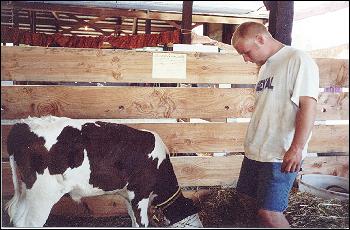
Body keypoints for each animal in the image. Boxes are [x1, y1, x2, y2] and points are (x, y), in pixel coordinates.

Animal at [5, 116, 204, 227]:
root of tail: (21, 125)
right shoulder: (140, 193)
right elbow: (142, 223)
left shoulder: (128, 195)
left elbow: (133, 221)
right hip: (42, 194)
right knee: (28, 222)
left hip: (25, 189)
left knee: (17, 217)